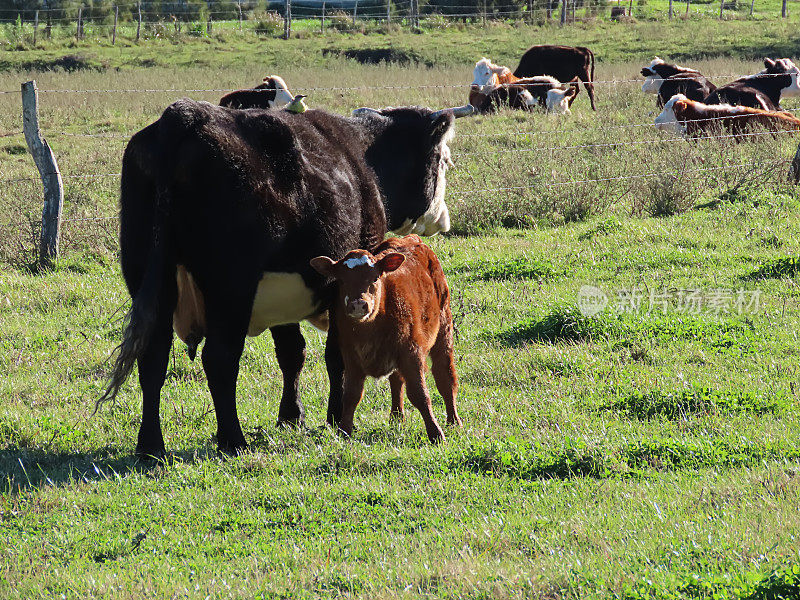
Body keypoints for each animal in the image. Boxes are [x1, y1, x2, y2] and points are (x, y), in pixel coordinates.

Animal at [310, 237, 462, 442]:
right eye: (341, 280)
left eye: (375, 277)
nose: (358, 304)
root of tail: (411, 238)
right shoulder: (351, 357)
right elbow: (351, 395)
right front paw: (344, 431)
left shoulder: (411, 352)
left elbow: (420, 394)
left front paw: (435, 433)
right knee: (397, 380)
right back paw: (397, 417)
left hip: (444, 330)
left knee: (445, 376)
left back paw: (453, 420)